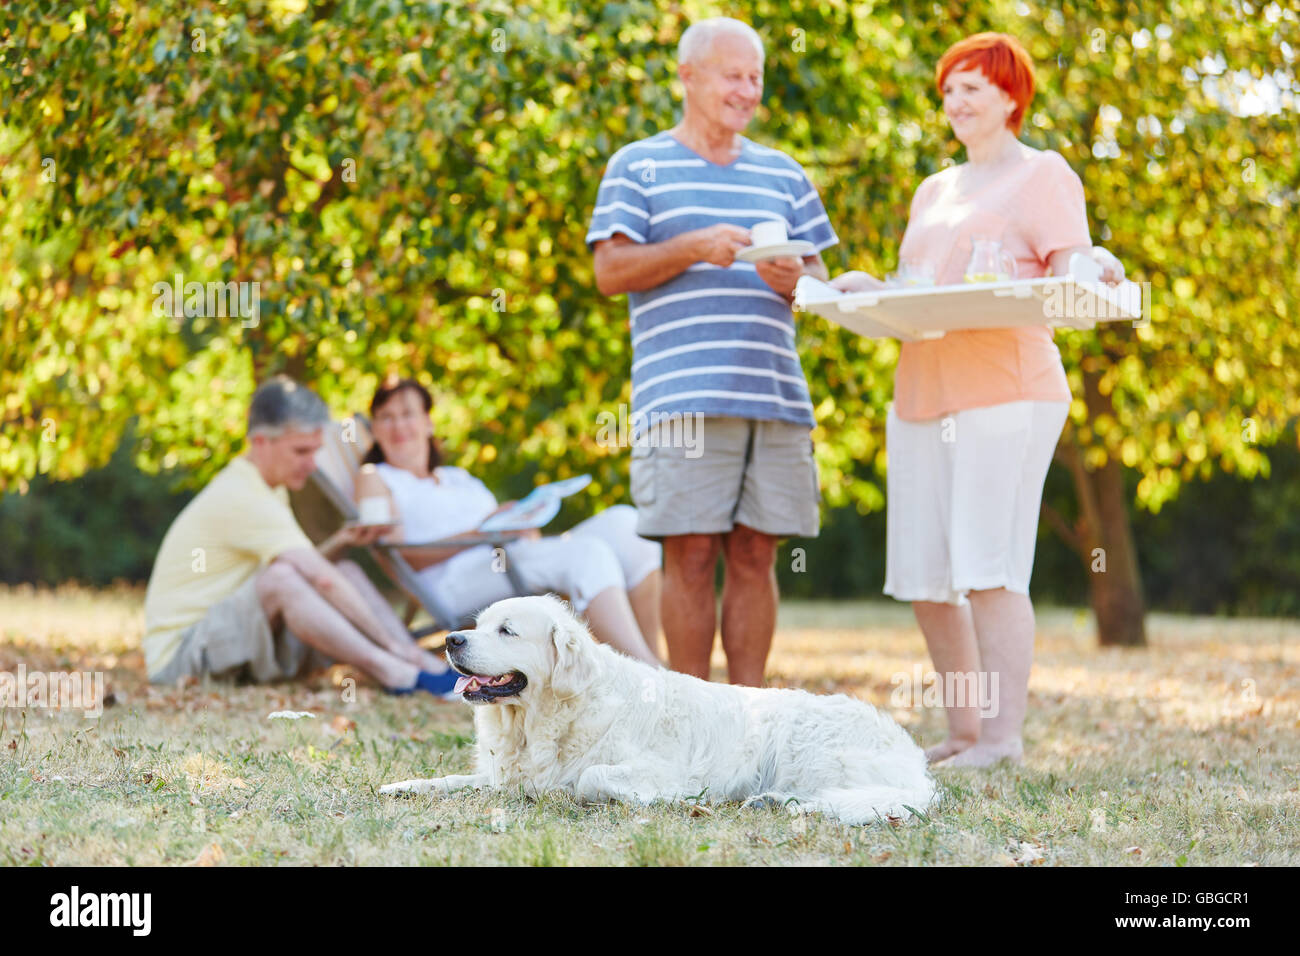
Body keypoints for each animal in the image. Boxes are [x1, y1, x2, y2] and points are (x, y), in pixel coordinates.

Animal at [379, 595, 941, 827]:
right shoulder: (506, 775)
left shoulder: (651, 768)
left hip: (809, 748)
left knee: (853, 799)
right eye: (478, 625)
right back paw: (767, 802)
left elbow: (589, 779)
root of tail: (914, 760)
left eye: (507, 631)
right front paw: (402, 786)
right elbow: (454, 780)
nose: (451, 640)